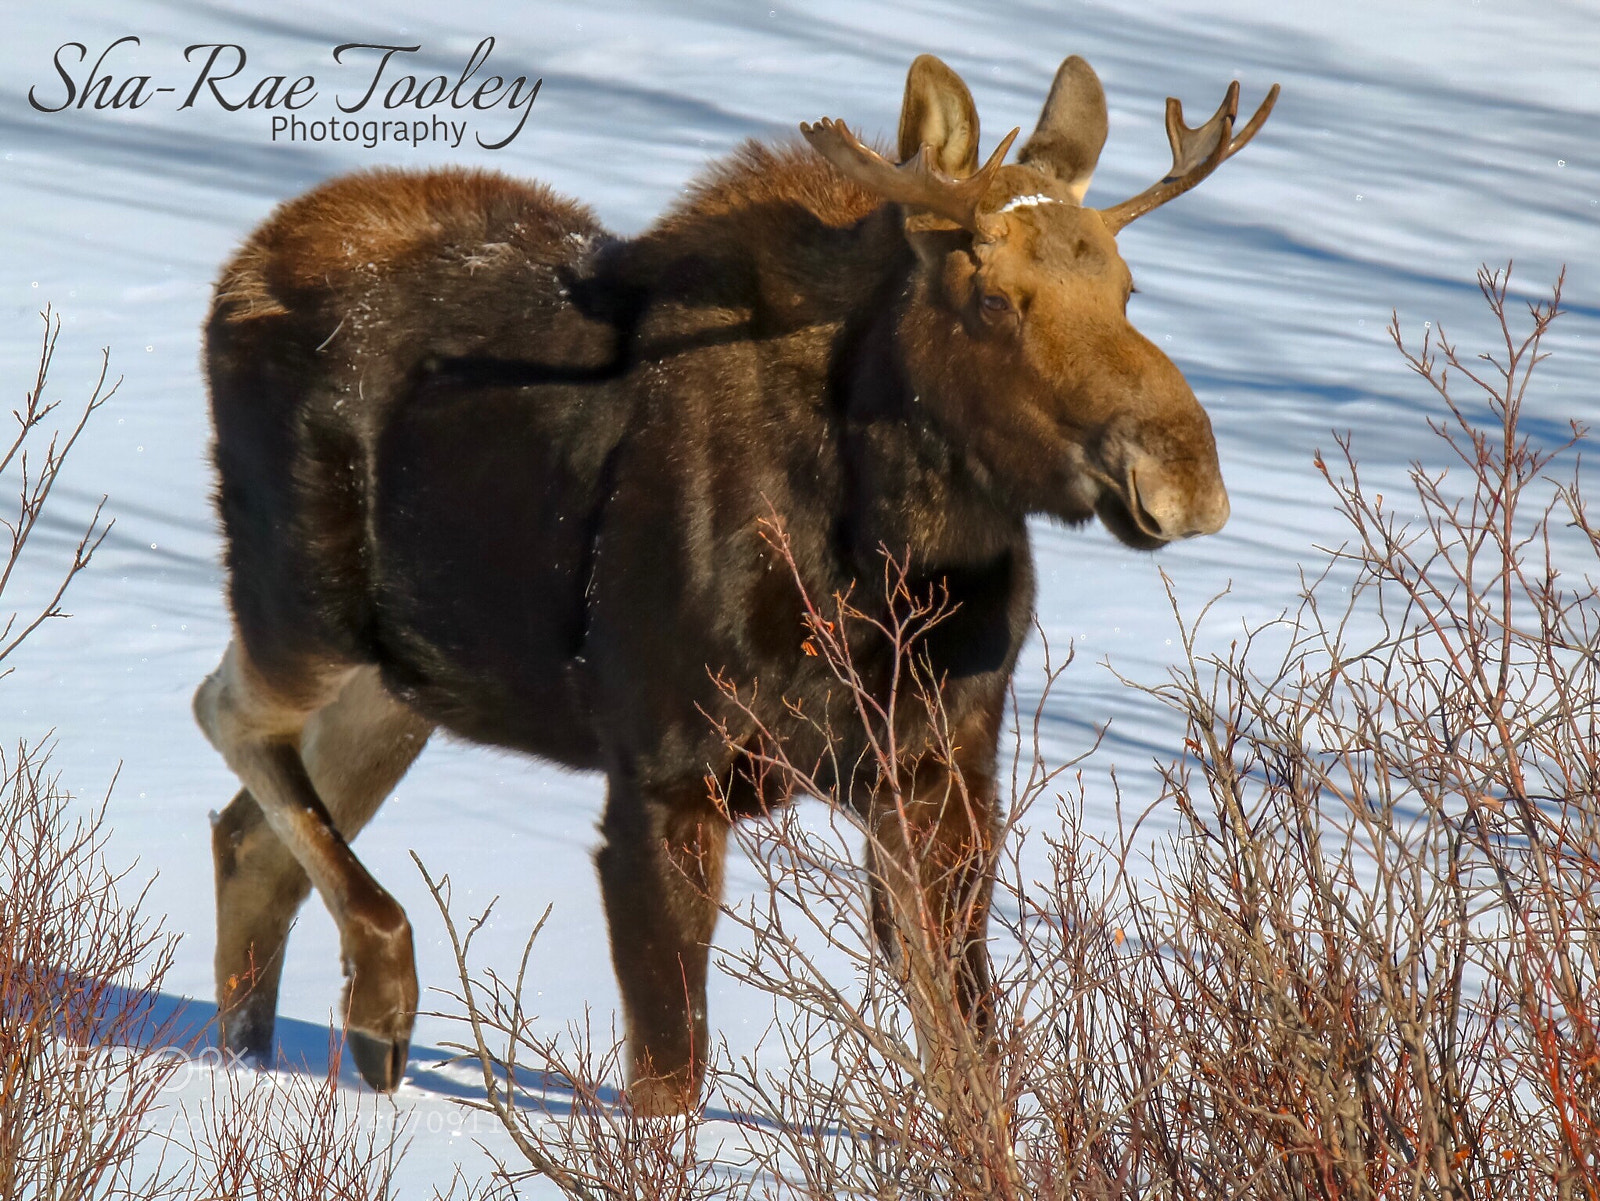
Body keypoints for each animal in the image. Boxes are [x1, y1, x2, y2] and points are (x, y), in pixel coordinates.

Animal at [192, 52, 1276, 1114]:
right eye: (993, 300)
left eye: (1127, 289)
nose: (1185, 477)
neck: (883, 574)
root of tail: (237, 273)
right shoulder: (664, 776)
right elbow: (668, 1083)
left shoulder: (941, 776)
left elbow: (973, 1065)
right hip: (306, 612)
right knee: (226, 715)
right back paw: (378, 996)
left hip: (409, 678)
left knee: (250, 838)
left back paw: (269, 1061)